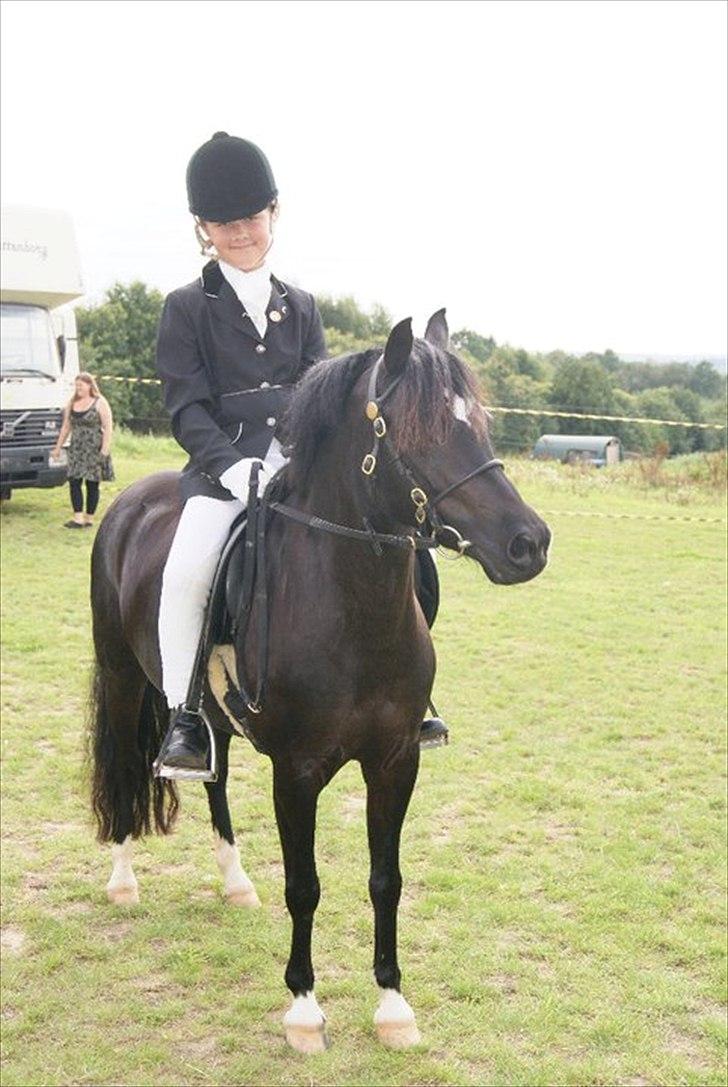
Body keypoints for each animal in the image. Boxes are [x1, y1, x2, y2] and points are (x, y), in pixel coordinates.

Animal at [89, 310, 550, 1053]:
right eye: (416, 432)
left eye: (477, 421)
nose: (527, 542)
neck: (349, 608)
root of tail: (132, 501)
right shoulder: (297, 770)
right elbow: (304, 885)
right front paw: (304, 1008)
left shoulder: (396, 760)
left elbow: (386, 879)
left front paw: (393, 1005)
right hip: (124, 677)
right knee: (129, 767)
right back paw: (124, 880)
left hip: (210, 709)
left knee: (213, 772)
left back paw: (235, 882)